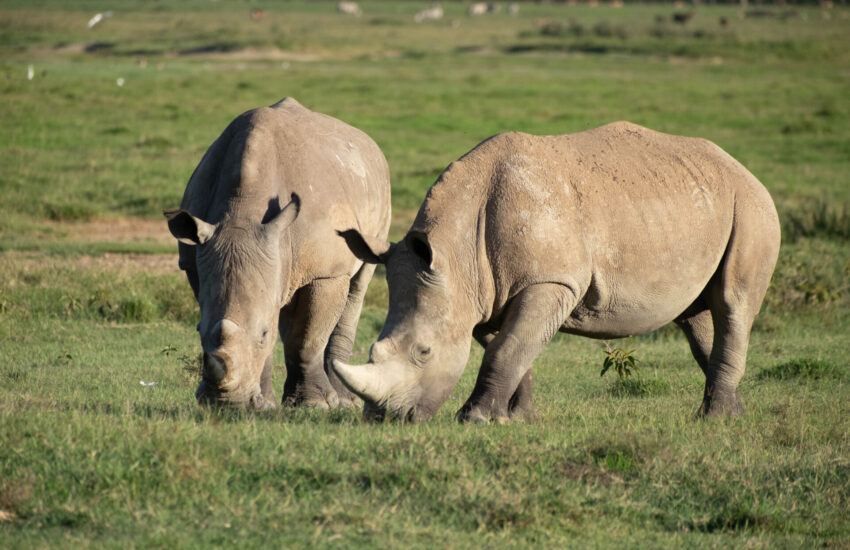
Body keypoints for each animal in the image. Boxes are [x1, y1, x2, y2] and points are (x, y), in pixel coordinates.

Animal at [165, 98, 391, 410]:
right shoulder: (195, 261)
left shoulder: (326, 272)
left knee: (359, 283)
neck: (241, 212)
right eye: (198, 331)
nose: (226, 404)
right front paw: (266, 404)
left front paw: (316, 405)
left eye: (262, 334)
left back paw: (347, 402)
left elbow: (307, 339)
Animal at [333, 122, 780, 423]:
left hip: (752, 208)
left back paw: (715, 418)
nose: (387, 420)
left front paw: (474, 418)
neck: (457, 255)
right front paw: (515, 418)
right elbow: (510, 347)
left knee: (733, 303)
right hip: (698, 202)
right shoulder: (484, 291)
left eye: (424, 352)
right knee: (698, 317)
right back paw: (730, 415)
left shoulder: (550, 281)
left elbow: (507, 348)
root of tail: (743, 169)